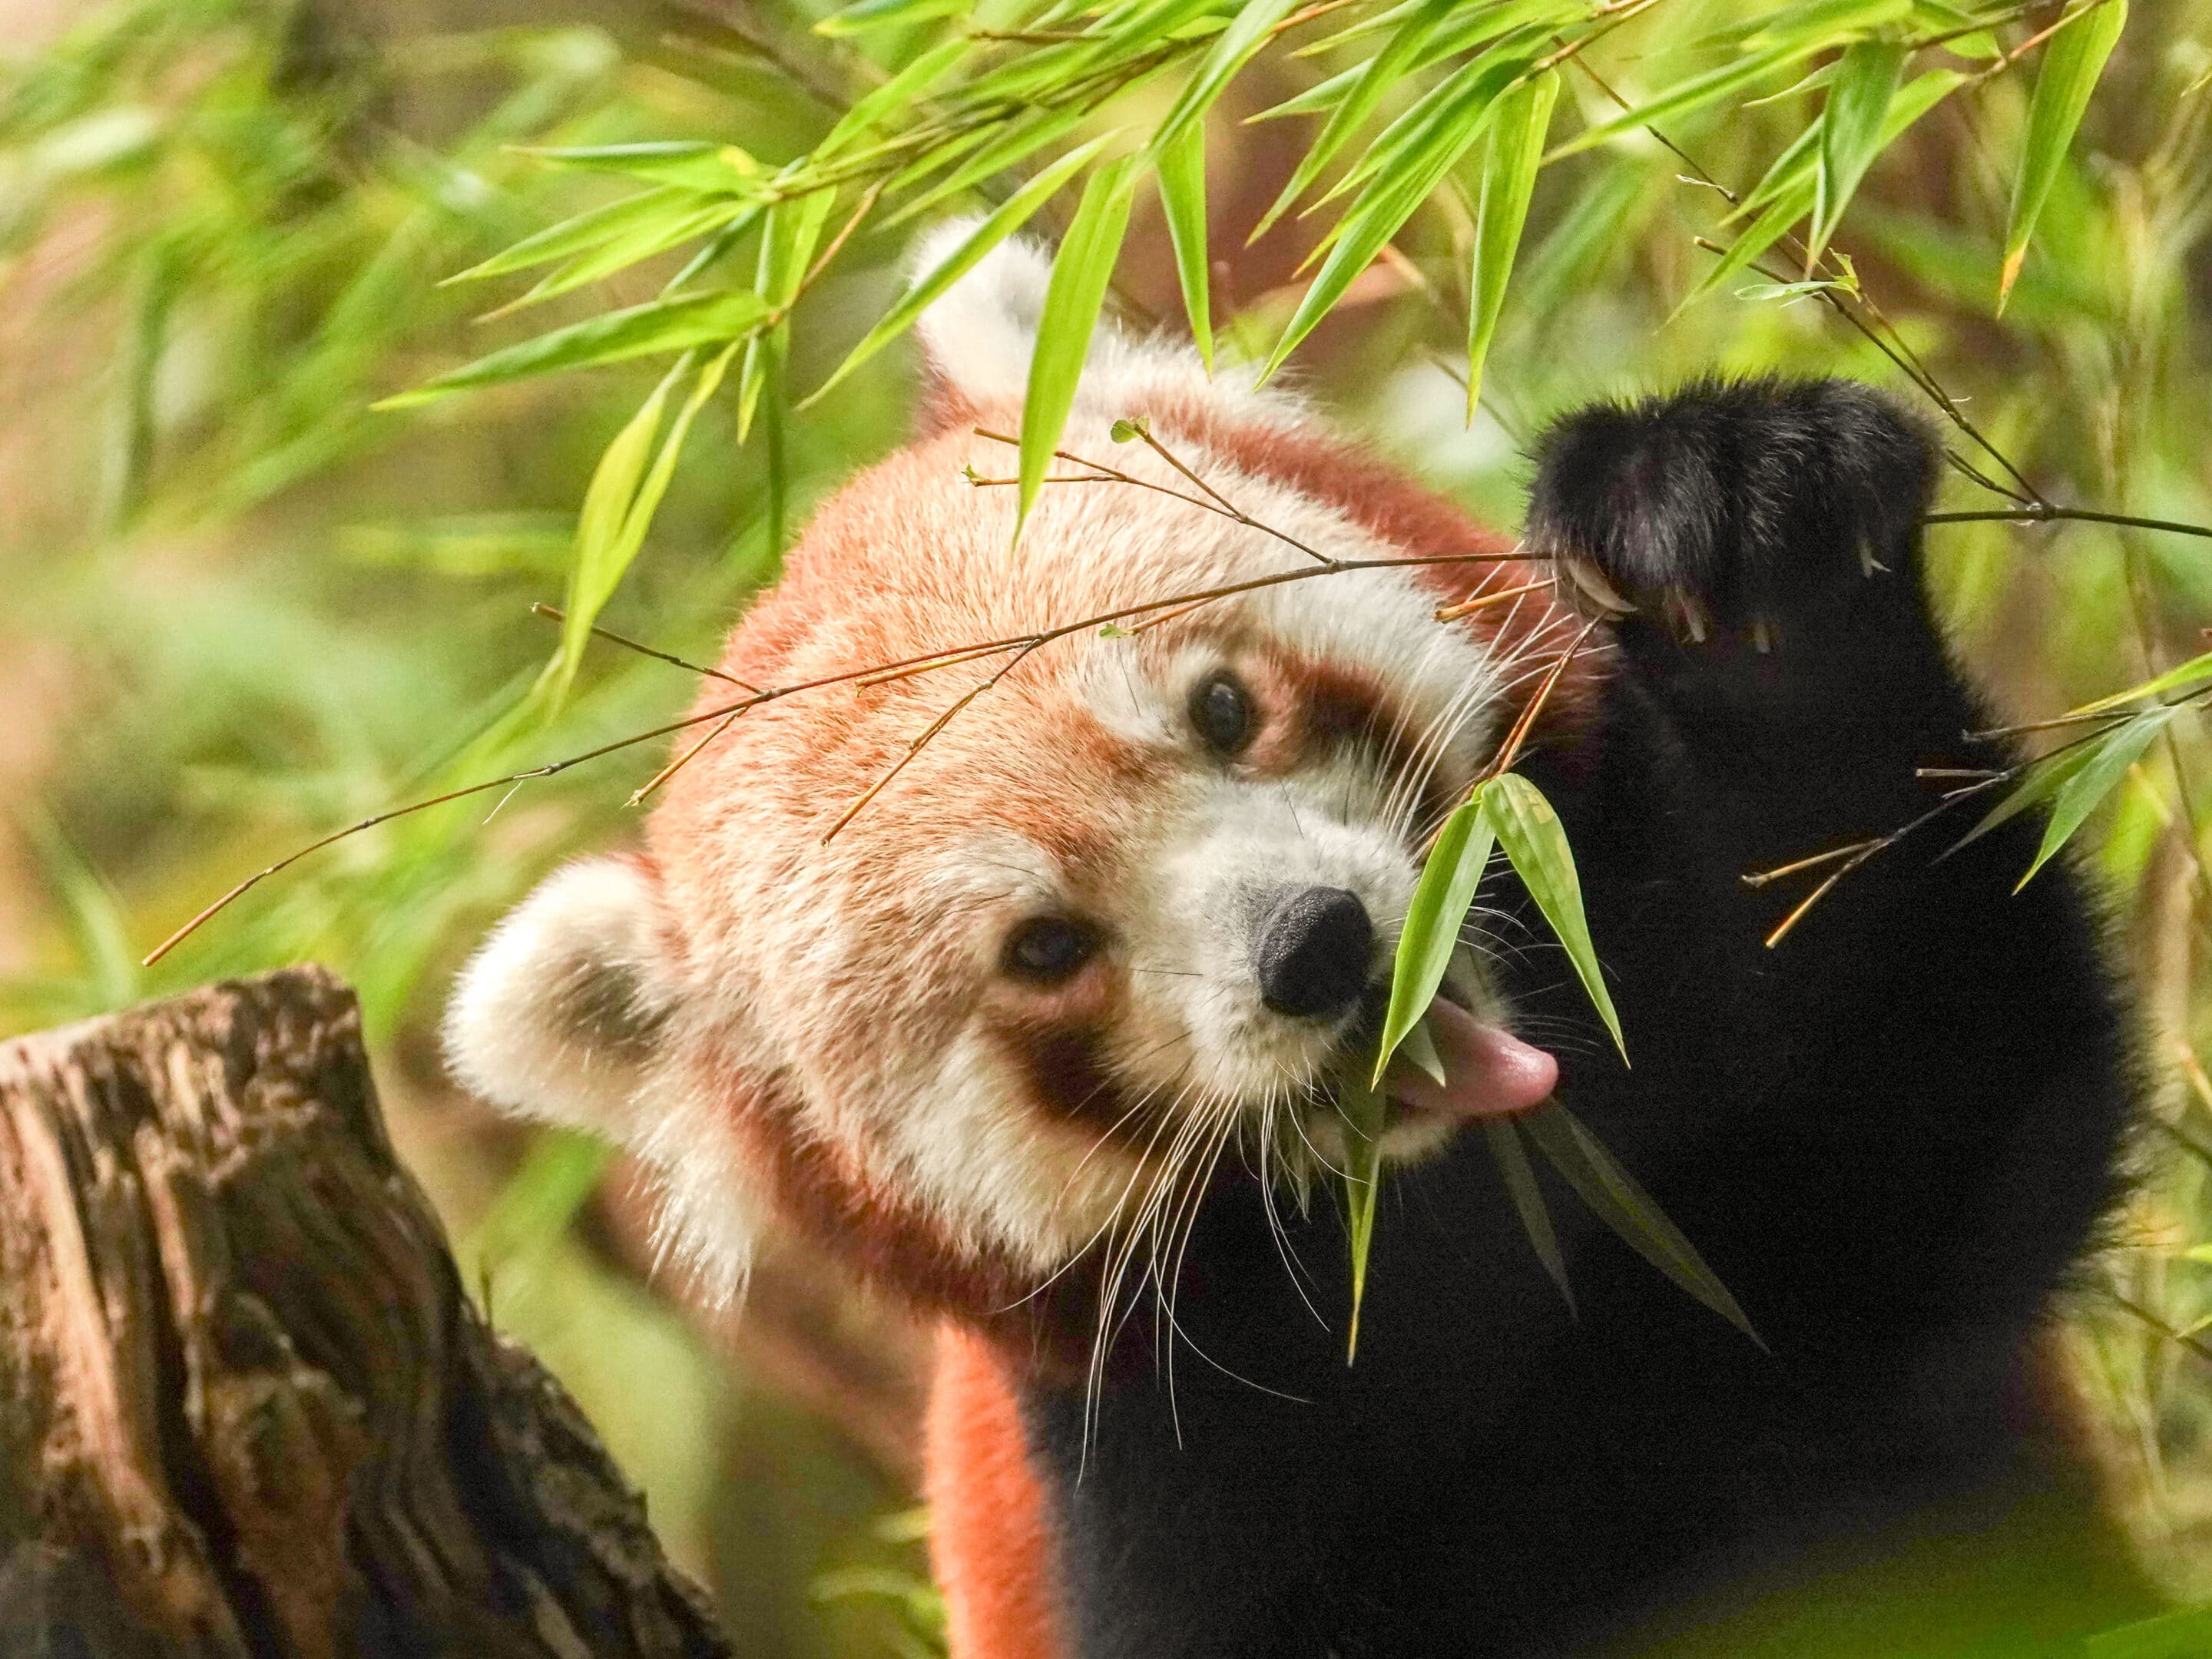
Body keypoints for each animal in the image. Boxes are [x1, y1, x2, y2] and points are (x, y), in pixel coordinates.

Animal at [445, 227, 2156, 1657]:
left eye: (1222, 708)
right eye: (1044, 949)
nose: (1318, 950)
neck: (1490, 1198)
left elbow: (1954, 1084)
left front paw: (1732, 535)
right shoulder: (1163, 1480)